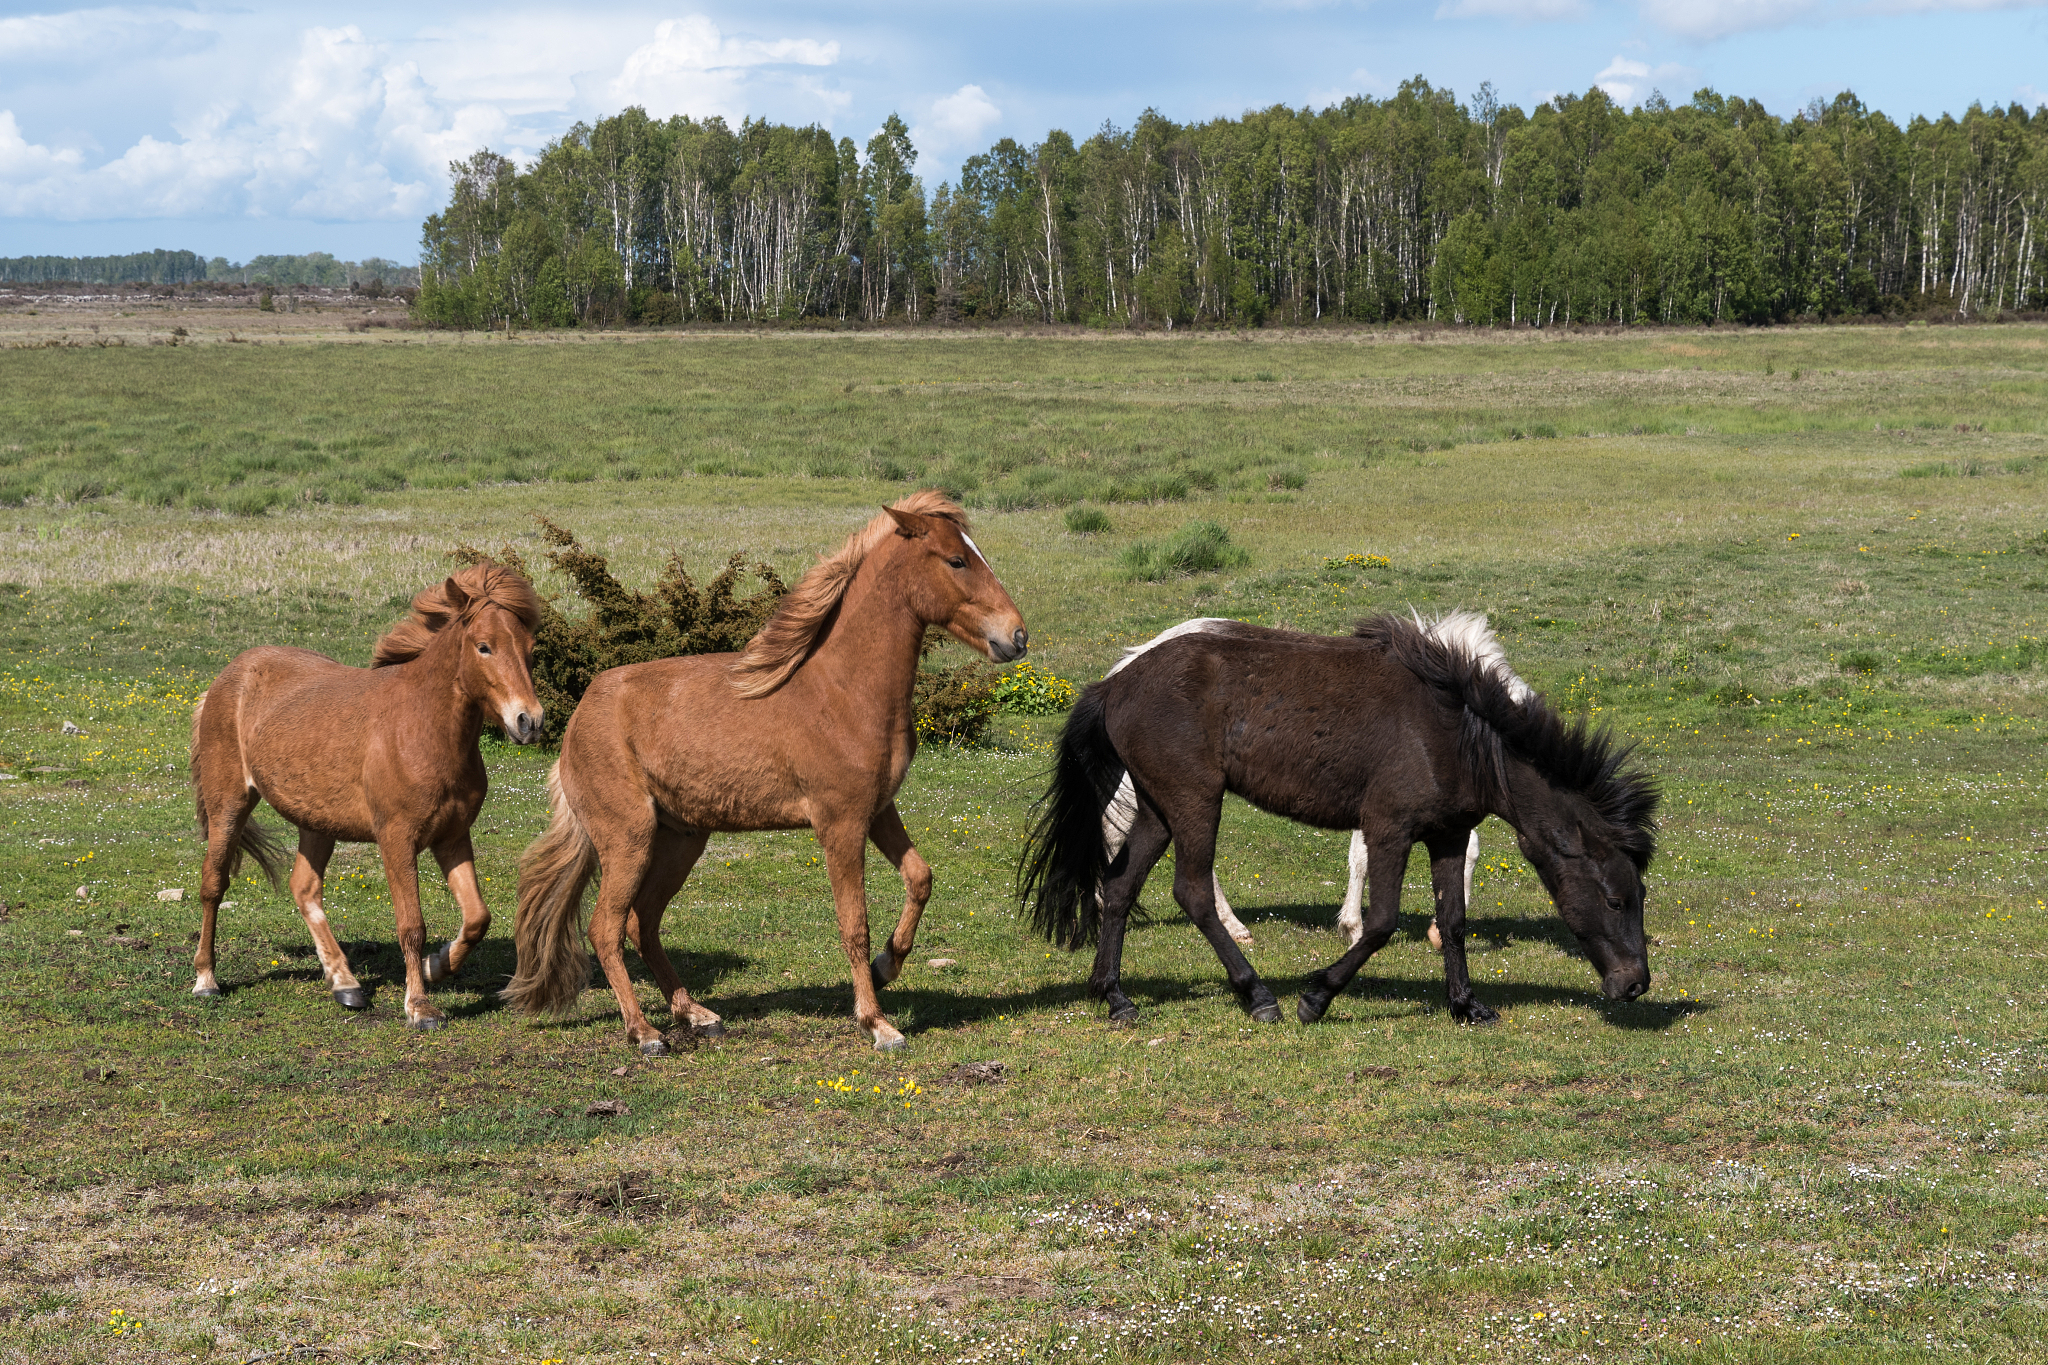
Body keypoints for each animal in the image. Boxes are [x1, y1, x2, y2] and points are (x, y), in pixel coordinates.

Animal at [188, 563, 544, 1028]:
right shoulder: (397, 839)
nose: (529, 721)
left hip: (317, 822)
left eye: (531, 649)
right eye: (484, 647)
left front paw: (436, 965)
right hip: (229, 805)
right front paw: (419, 1005)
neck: (421, 727)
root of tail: (228, 677)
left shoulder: (452, 837)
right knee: (213, 884)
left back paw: (346, 984)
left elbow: (476, 918)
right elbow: (411, 925)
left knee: (304, 889)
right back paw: (206, 980)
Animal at [503, 492, 1028, 1056]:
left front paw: (887, 966)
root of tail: (576, 722)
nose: (1017, 637)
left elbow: (920, 877)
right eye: (956, 560)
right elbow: (854, 924)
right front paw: (876, 1023)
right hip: (630, 839)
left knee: (644, 923)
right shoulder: (839, 825)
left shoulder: (878, 810)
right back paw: (644, 1032)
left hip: (681, 840)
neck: (842, 692)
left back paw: (697, 1015)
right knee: (606, 928)